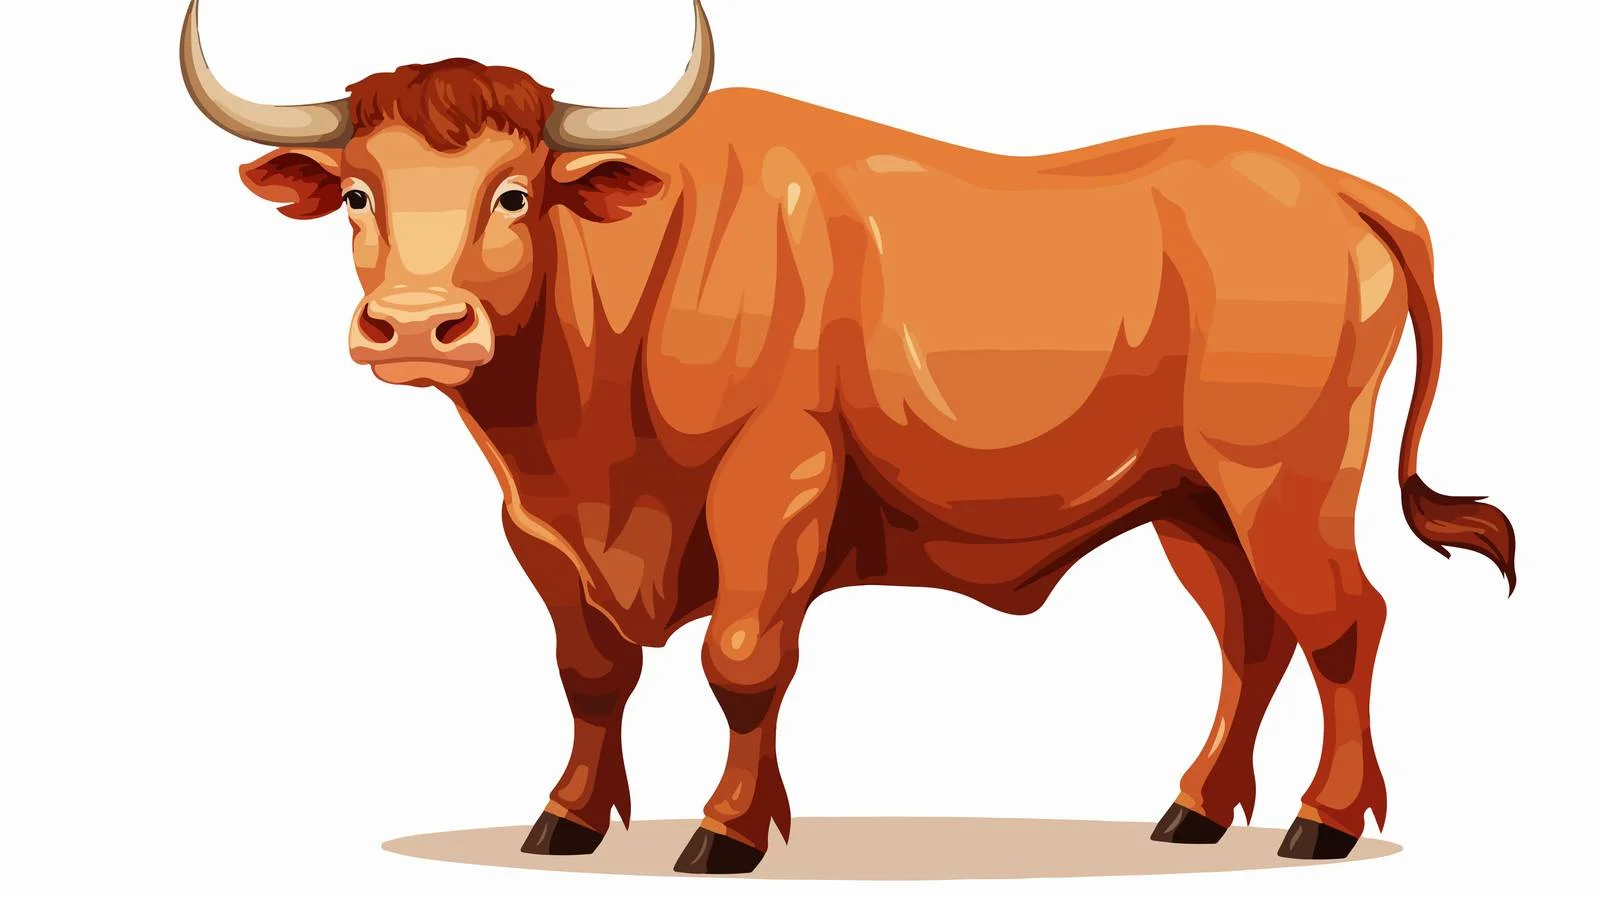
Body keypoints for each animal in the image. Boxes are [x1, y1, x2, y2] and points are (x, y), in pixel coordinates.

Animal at [180, 0, 1515, 875]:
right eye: (357, 193)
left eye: (516, 193)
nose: (416, 326)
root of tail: (1328, 184)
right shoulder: (539, 531)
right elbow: (589, 671)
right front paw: (565, 818)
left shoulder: (776, 488)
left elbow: (743, 661)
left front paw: (724, 832)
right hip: (1190, 503)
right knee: (1251, 636)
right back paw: (1192, 809)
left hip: (1283, 483)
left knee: (1341, 624)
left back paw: (1321, 823)